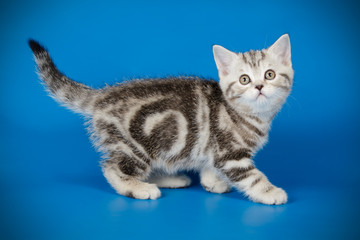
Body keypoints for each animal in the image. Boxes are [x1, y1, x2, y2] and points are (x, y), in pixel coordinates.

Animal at [29, 34, 294, 205]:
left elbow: (209, 165)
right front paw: (271, 192)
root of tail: (102, 95)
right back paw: (139, 188)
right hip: (135, 146)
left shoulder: (212, 147)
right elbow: (253, 177)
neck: (252, 115)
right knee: (112, 167)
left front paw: (211, 182)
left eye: (269, 75)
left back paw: (171, 178)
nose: (259, 86)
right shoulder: (231, 154)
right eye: (244, 80)